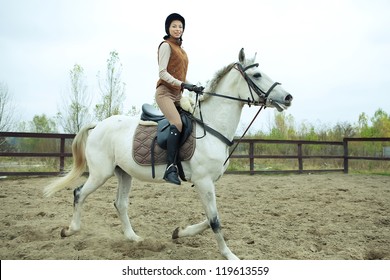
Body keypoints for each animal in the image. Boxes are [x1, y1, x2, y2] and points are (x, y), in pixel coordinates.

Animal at [44, 48, 292, 260]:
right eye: (257, 75)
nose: (288, 97)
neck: (211, 127)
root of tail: (99, 125)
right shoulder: (203, 182)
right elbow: (214, 220)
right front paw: (229, 255)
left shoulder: (208, 183)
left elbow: (211, 217)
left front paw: (179, 232)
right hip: (99, 174)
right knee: (79, 193)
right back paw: (70, 230)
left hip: (123, 173)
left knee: (120, 204)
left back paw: (133, 238)